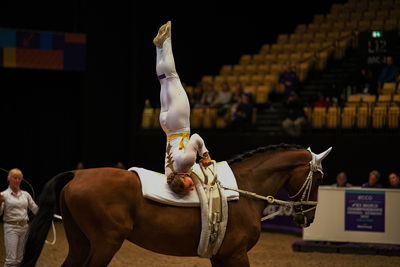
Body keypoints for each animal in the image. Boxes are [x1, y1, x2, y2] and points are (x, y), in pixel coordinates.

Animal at [20, 144, 332, 267]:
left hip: (81, 242)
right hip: (105, 243)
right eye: (318, 177)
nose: (309, 216)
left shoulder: (221, 256)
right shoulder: (237, 255)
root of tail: (78, 174)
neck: (243, 189)